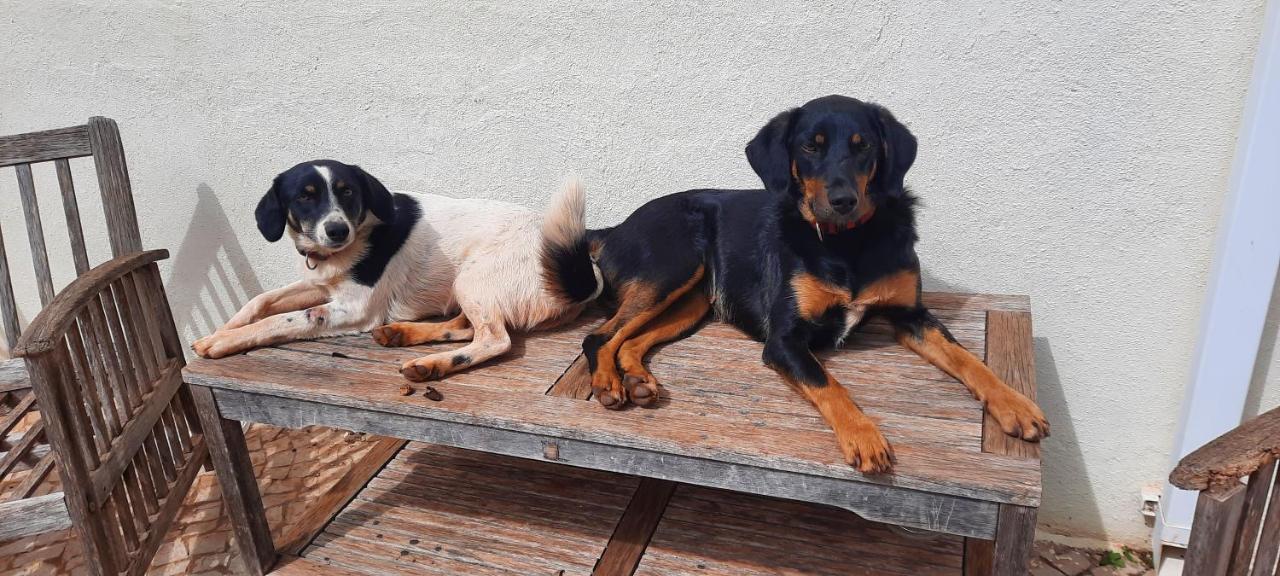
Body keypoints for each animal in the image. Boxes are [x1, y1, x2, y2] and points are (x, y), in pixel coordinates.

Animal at [192, 160, 601, 381]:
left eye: (348, 192)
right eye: (304, 197)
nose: (337, 230)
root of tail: (584, 276)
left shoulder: (355, 309)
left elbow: (285, 319)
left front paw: (223, 341)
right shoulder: (322, 285)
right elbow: (262, 300)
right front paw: (222, 329)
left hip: (473, 278)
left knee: (494, 339)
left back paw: (431, 364)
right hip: (465, 287)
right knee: (466, 327)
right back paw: (401, 334)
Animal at [581, 95, 1049, 473]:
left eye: (864, 146)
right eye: (811, 146)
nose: (843, 201)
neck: (846, 242)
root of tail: (613, 229)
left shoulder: (912, 315)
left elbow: (969, 359)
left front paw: (1015, 404)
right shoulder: (784, 340)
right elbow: (830, 384)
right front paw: (864, 436)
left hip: (692, 302)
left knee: (630, 340)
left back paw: (638, 380)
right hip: (673, 266)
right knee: (598, 336)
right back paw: (608, 384)